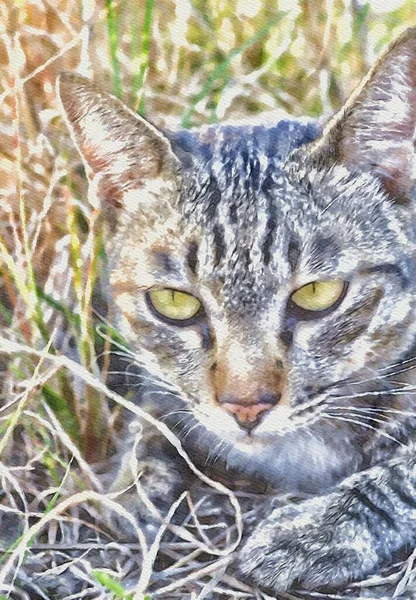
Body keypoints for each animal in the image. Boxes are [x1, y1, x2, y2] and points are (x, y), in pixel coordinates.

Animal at [59, 28, 416, 596]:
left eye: (318, 295)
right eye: (175, 302)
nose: (245, 407)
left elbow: (400, 474)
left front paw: (314, 529)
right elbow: (154, 415)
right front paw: (130, 482)